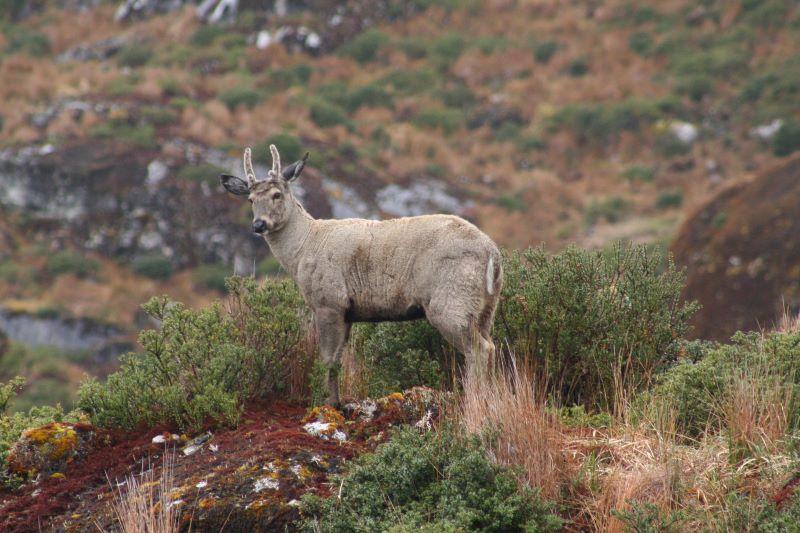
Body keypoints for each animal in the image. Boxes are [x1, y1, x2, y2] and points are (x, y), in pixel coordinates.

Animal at [222, 145, 504, 404]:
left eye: (277, 194)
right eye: (250, 199)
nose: (259, 224)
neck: (305, 246)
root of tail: (492, 252)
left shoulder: (328, 302)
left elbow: (327, 359)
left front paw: (328, 405)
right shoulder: (348, 311)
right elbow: (338, 360)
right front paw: (338, 403)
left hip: (451, 301)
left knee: (480, 350)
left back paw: (474, 401)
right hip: (485, 307)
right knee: (490, 346)